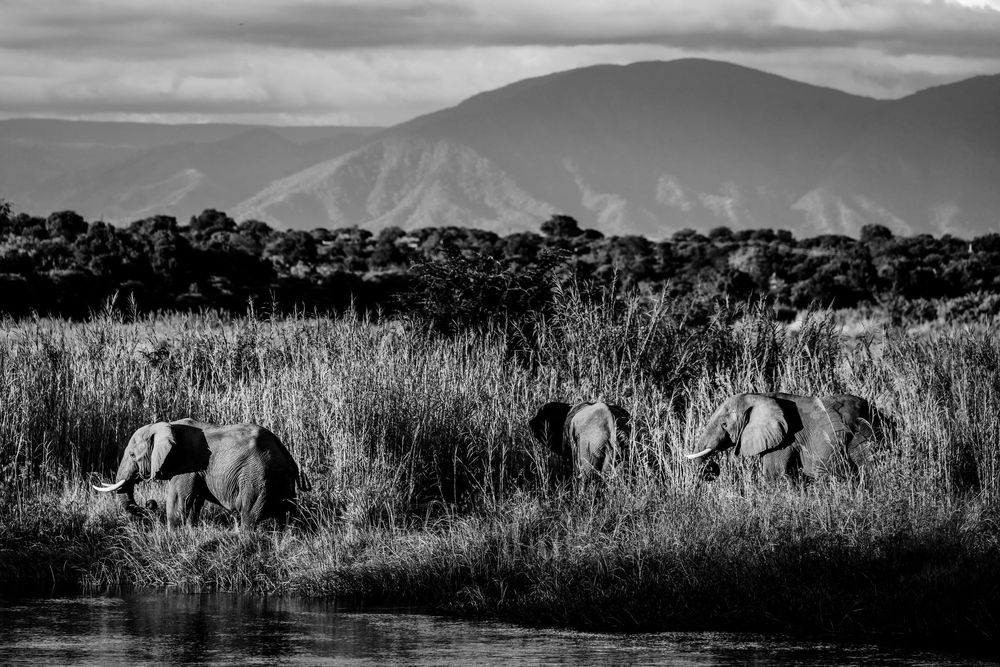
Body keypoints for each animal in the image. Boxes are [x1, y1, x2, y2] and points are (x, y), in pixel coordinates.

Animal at [92, 418, 309, 528]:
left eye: (132, 454)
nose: (150, 503)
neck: (166, 425)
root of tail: (287, 455)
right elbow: (194, 501)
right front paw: (190, 530)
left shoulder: (186, 464)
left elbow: (178, 499)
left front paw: (173, 535)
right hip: (281, 481)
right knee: (286, 515)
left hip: (257, 477)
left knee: (249, 513)